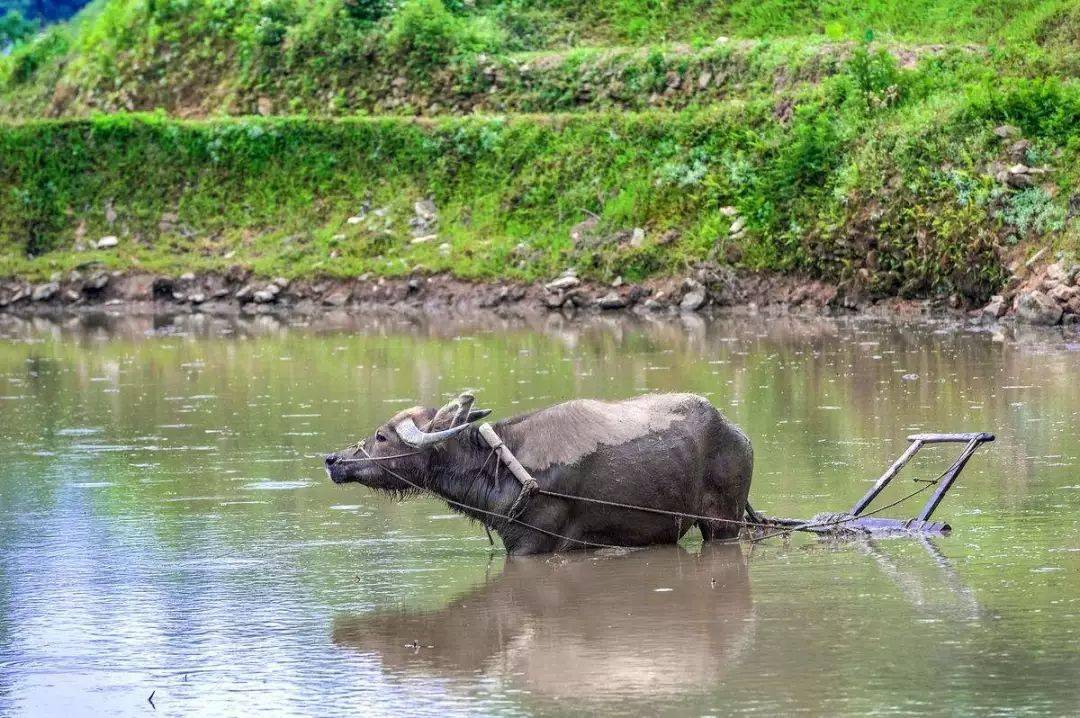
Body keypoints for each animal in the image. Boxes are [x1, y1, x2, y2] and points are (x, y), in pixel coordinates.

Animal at [324, 393, 756, 552]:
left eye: (382, 436)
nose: (333, 460)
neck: (501, 464)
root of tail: (737, 432)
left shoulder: (531, 545)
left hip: (724, 522)